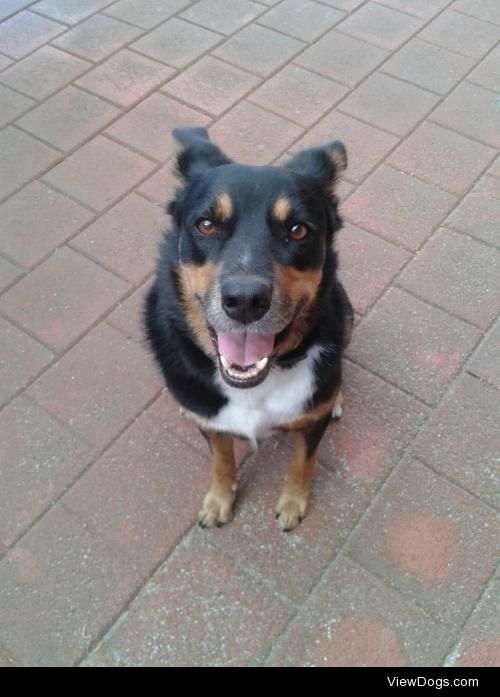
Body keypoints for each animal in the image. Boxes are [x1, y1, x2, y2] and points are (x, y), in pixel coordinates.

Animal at [145, 128, 354, 532]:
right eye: (206, 224)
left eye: (298, 230)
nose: (244, 301)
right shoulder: (213, 422)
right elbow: (221, 459)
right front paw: (219, 500)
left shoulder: (311, 424)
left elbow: (302, 462)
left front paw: (292, 504)